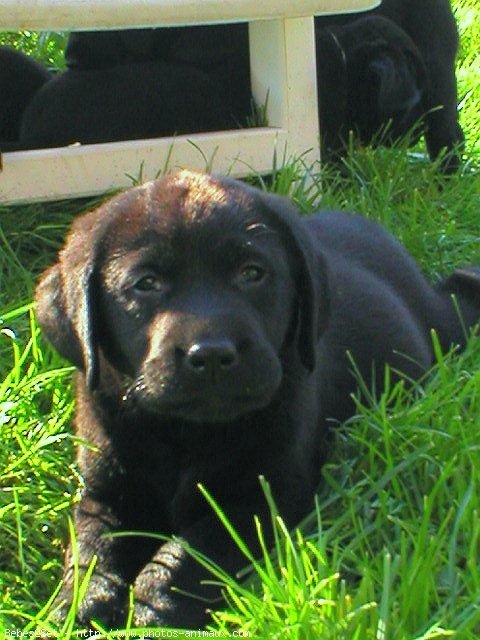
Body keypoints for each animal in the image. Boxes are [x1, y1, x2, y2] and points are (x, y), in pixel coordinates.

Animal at [35, 171, 480, 632]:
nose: (212, 354)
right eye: (146, 284)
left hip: (444, 326)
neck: (184, 431)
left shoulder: (268, 494)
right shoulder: (106, 491)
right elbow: (93, 545)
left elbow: (201, 544)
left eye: (252, 273)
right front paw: (79, 602)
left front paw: (158, 602)